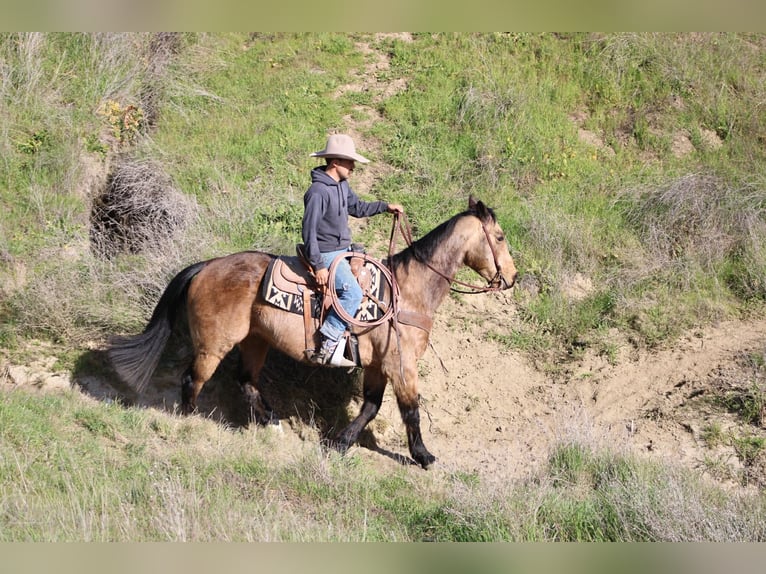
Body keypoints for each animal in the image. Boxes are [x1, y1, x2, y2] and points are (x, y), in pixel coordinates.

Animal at [108, 196, 517, 469]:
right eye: (499, 237)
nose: (512, 278)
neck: (409, 291)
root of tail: (208, 265)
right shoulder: (402, 366)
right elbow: (411, 411)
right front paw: (423, 456)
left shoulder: (377, 366)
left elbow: (371, 407)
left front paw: (340, 443)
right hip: (214, 344)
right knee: (193, 380)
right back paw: (191, 424)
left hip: (256, 341)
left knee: (246, 381)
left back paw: (272, 424)